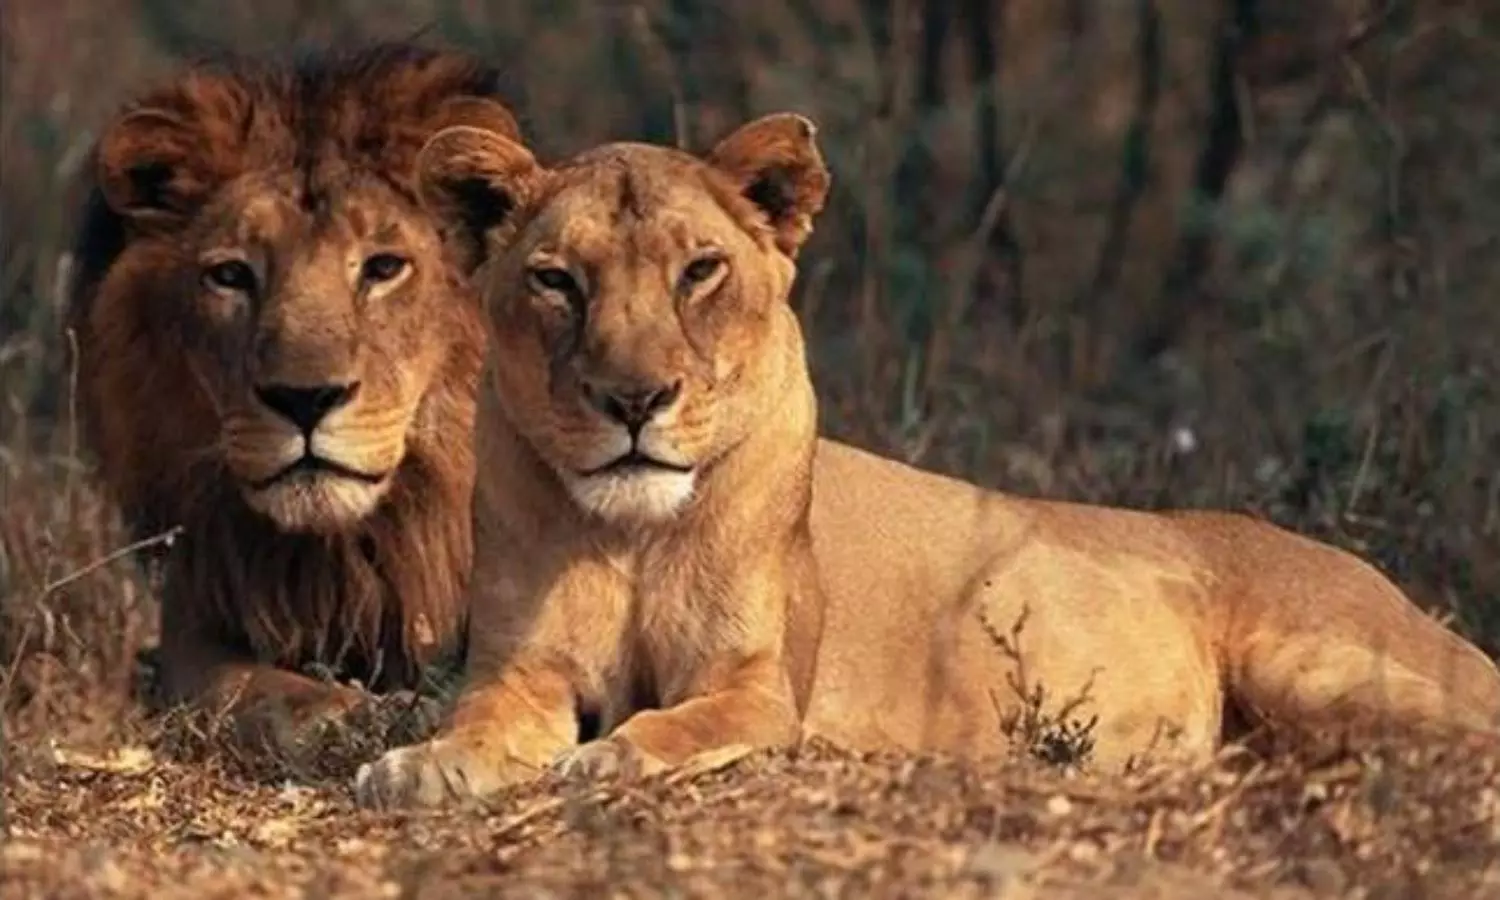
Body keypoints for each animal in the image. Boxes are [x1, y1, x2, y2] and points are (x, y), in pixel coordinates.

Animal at [66, 43, 516, 750]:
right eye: (230, 275)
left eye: (384, 267)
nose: (306, 400)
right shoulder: (195, 632)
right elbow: (258, 693)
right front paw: (359, 714)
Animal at [348, 113, 1500, 808]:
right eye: (557, 281)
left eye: (700, 272)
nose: (635, 402)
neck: (630, 532)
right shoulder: (520, 668)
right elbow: (480, 718)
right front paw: (425, 764)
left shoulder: (759, 687)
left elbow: (677, 725)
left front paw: (612, 754)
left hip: (1317, 660)